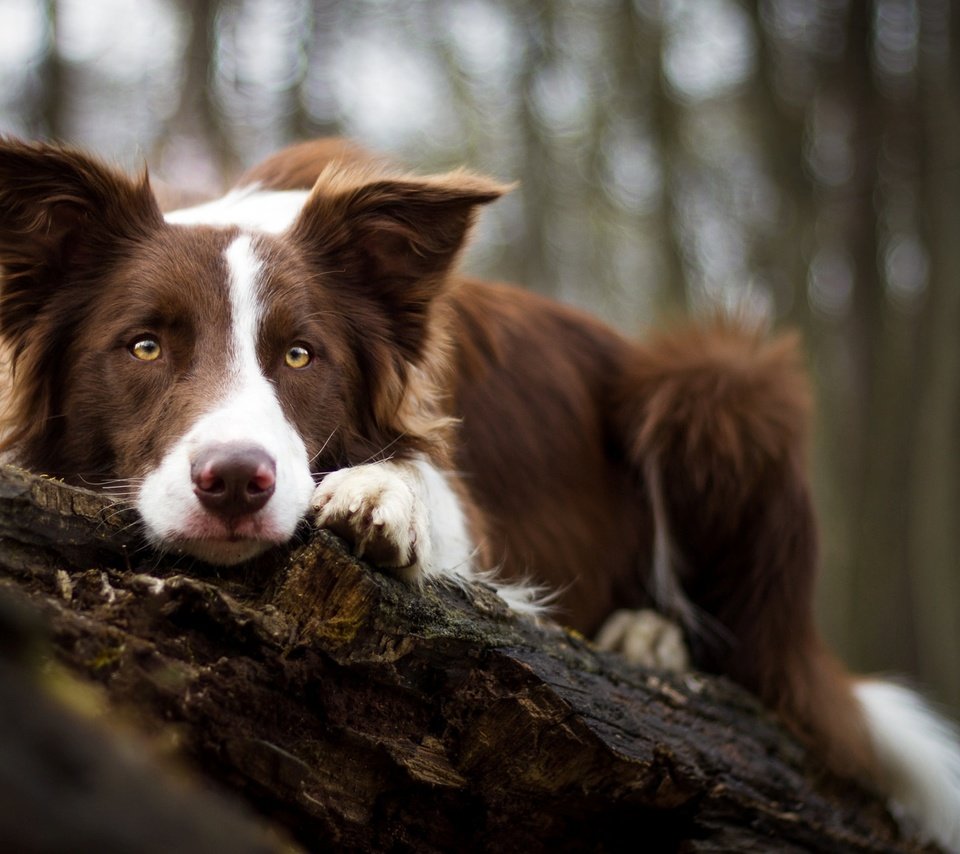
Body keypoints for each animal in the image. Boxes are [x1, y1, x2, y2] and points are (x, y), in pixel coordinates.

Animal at [0, 139, 956, 848]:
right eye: (146, 346)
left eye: (301, 355)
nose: (237, 481)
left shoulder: (463, 480)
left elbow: (422, 479)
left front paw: (380, 495)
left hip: (718, 386)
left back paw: (653, 636)